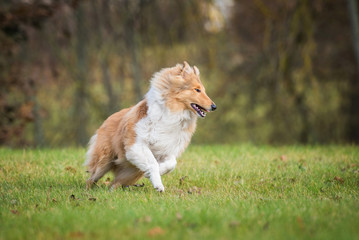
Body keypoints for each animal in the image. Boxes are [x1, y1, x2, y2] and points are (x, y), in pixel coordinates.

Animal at [85, 61, 217, 192]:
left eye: (203, 90)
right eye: (197, 90)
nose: (214, 106)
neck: (173, 113)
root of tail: (108, 118)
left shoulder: (168, 149)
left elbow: (171, 164)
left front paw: (157, 171)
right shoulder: (136, 145)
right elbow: (152, 163)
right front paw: (158, 185)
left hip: (131, 173)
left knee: (114, 183)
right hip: (103, 161)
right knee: (91, 178)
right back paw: (88, 190)